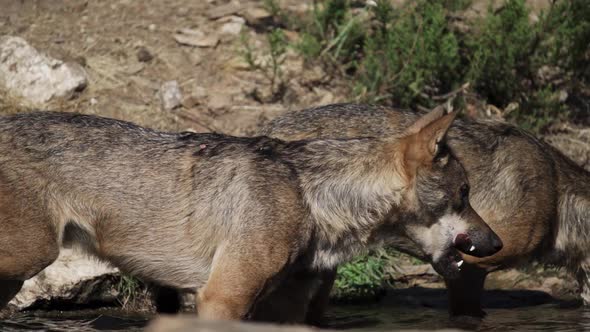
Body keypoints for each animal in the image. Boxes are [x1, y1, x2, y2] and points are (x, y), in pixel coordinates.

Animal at [0, 109, 504, 322]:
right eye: (464, 194)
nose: (496, 243)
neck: (308, 196)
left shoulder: (282, 308)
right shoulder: (221, 299)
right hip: (30, 257)